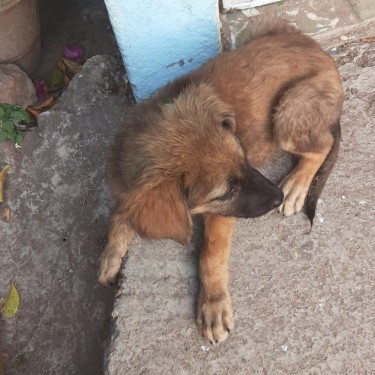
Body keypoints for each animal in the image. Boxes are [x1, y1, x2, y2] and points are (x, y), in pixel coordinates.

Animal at [99, 18, 344, 346]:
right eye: (226, 192)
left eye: (244, 158)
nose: (276, 198)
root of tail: (324, 55)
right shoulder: (129, 190)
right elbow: (121, 215)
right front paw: (111, 256)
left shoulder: (223, 215)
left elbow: (210, 253)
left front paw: (213, 304)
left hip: (288, 111)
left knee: (323, 144)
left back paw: (296, 184)